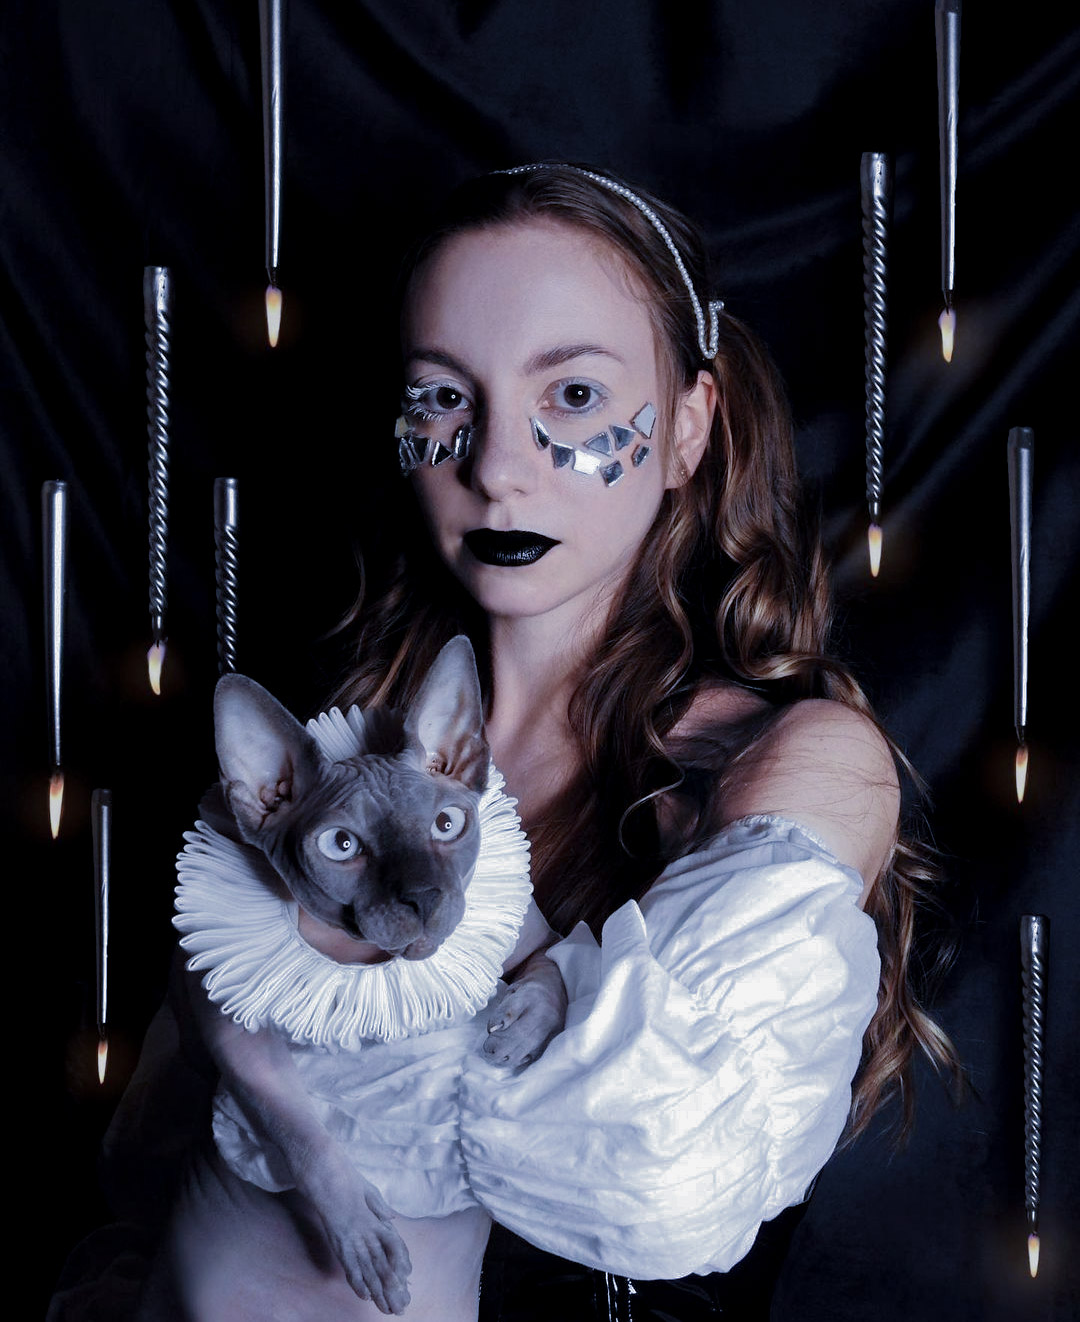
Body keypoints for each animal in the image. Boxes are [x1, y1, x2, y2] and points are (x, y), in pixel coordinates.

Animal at [143, 637, 565, 1320]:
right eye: (342, 844)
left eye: (447, 824)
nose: (424, 897)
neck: (370, 959)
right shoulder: (234, 1036)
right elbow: (300, 1133)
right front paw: (363, 1237)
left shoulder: (532, 934)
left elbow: (555, 969)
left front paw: (522, 1024)